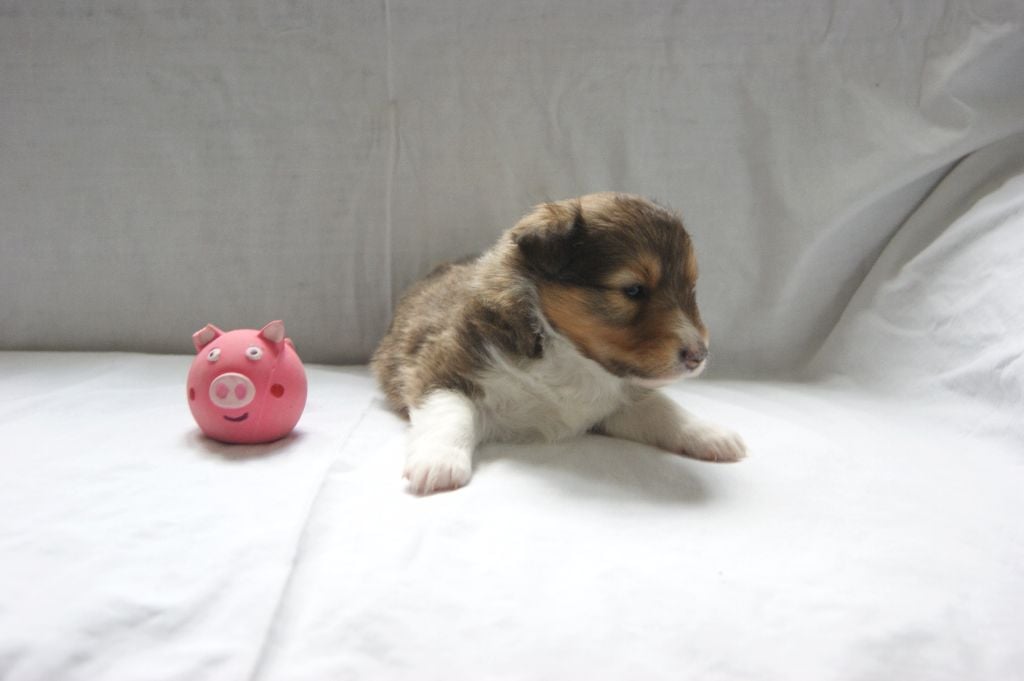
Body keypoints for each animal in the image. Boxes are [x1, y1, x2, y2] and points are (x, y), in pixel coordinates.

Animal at [372, 192, 747, 494]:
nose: (699, 356)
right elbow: (449, 412)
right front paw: (438, 464)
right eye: (633, 290)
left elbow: (662, 409)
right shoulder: (442, 365)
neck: (567, 354)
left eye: (691, 288)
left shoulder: (615, 403)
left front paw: (712, 434)